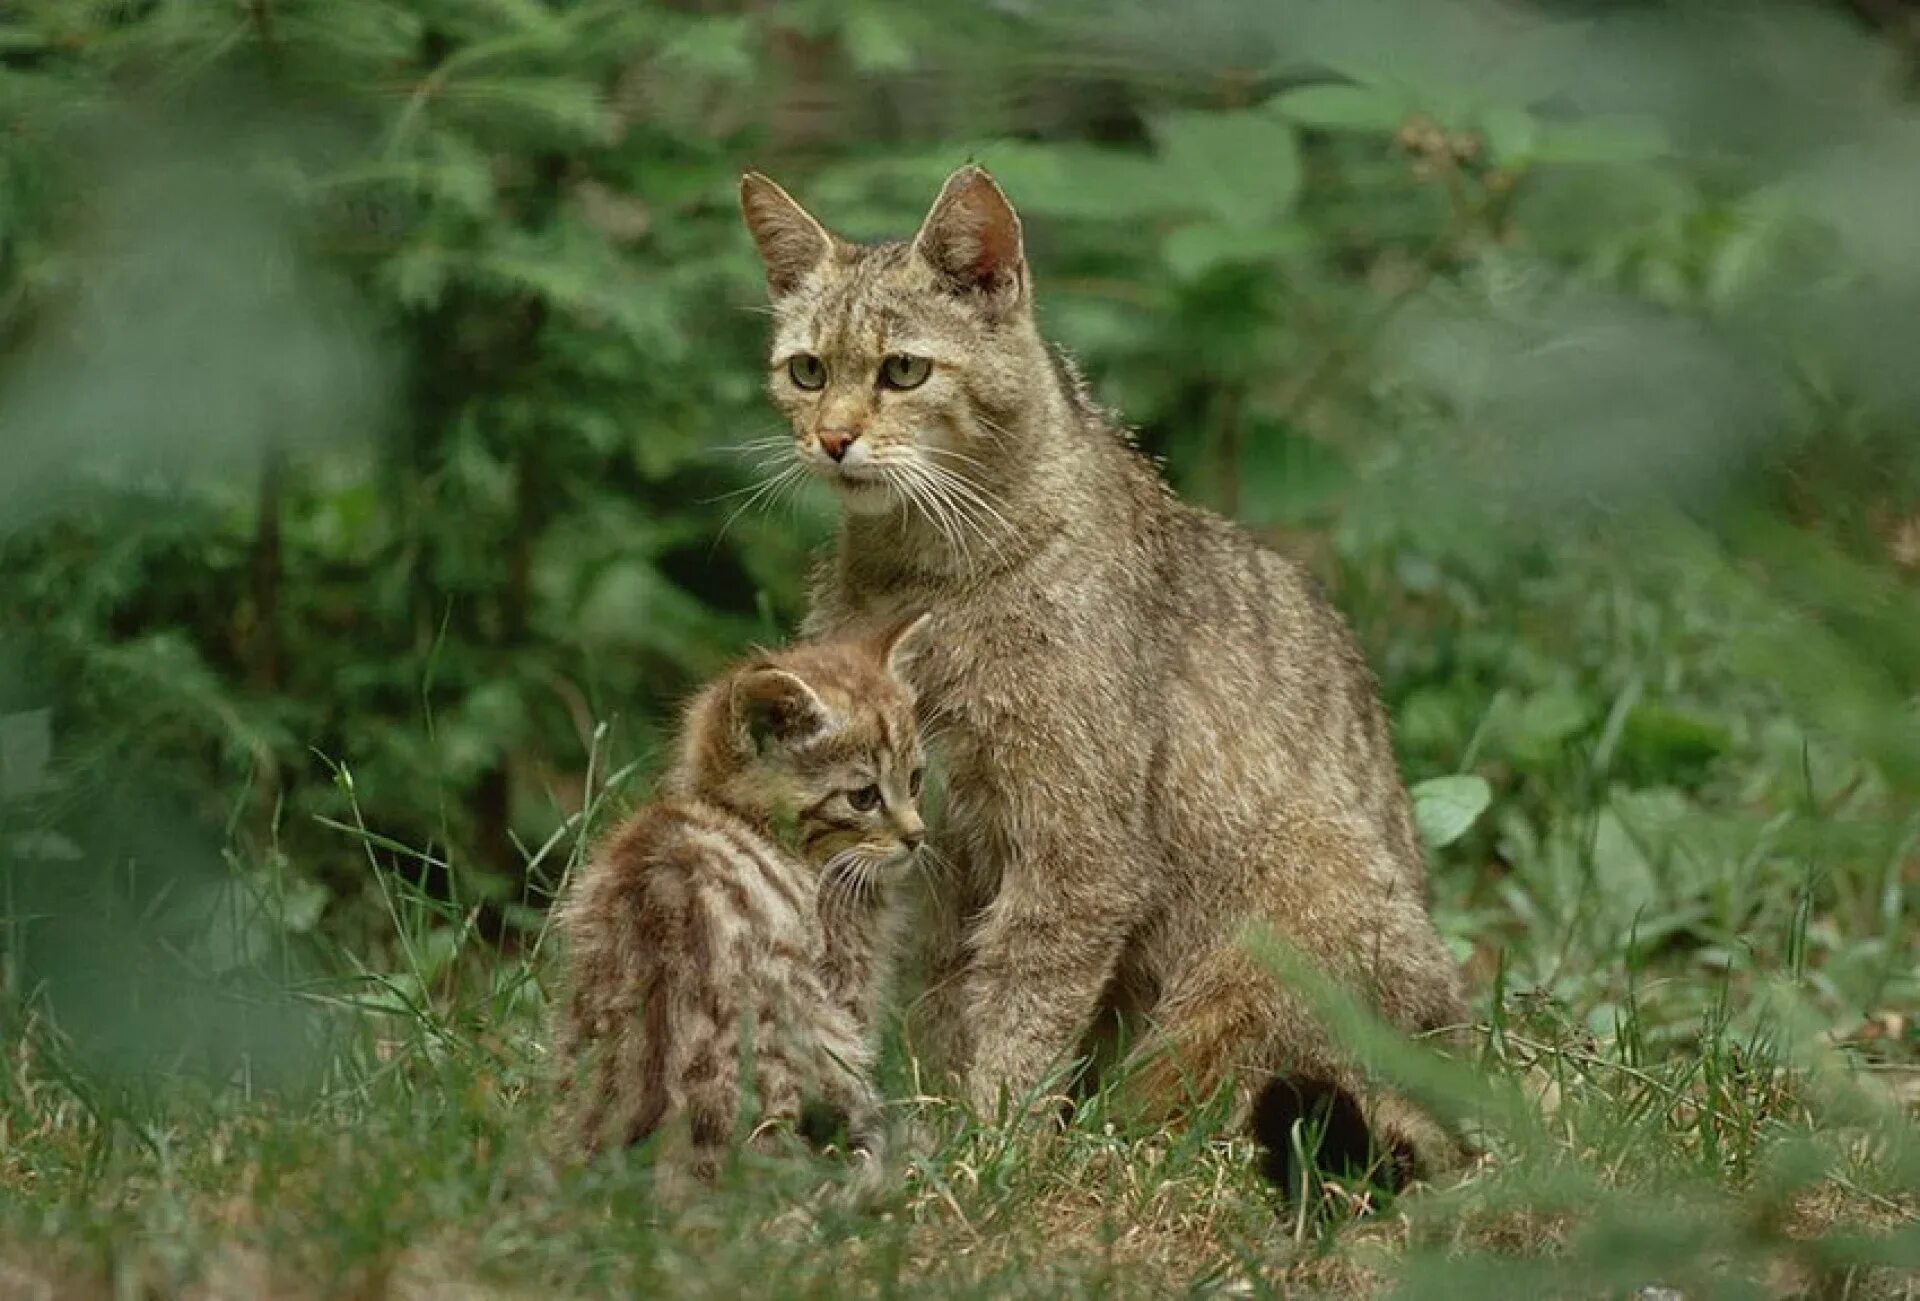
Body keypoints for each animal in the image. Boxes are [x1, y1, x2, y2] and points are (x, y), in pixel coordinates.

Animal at [733, 167, 1466, 1189]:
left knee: (1193, 1108)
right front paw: (932, 1114)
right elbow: (941, 1002)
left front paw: (991, 1143)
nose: (833, 439)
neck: (919, 576)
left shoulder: (1075, 849)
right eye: (807, 372)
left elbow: (1023, 1005)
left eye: (903, 371)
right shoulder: (935, 844)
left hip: (1289, 912)